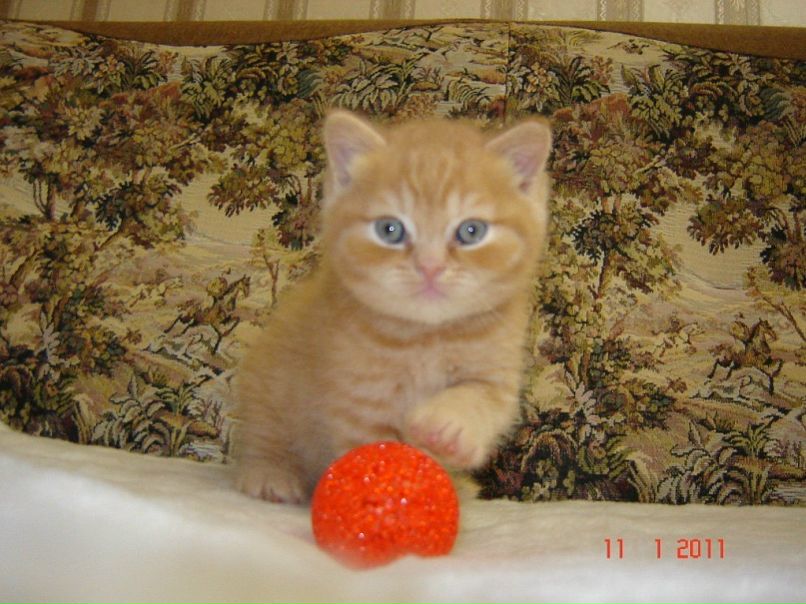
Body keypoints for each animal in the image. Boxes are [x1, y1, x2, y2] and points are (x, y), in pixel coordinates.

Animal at [234, 109, 552, 503]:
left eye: (471, 231)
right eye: (390, 230)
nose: (430, 266)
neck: (428, 338)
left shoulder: (496, 374)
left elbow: (482, 400)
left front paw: (449, 426)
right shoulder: (361, 403)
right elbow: (378, 457)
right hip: (267, 381)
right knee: (262, 432)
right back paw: (269, 473)